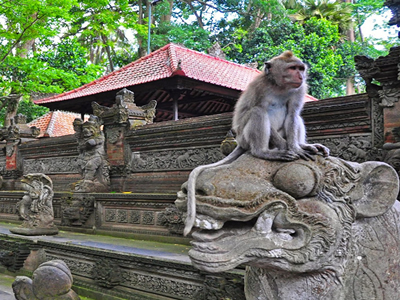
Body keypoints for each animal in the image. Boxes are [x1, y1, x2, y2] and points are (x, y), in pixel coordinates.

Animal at [183, 50, 330, 236]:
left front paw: (296, 147)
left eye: (300, 68)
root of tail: (240, 142)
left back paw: (301, 145)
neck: (280, 86)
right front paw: (287, 148)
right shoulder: (259, 87)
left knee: (295, 116)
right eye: (292, 68)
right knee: (257, 112)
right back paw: (264, 151)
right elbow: (261, 108)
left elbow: (292, 114)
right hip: (245, 137)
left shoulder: (299, 89)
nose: (300, 76)